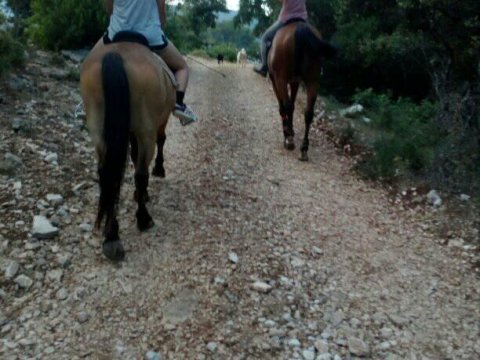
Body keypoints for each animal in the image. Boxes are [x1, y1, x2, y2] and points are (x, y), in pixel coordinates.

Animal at [268, 20, 336, 160]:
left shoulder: (276, 80)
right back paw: (304, 147)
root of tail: (300, 27)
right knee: (308, 112)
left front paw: (287, 131)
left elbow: (283, 107)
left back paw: (289, 139)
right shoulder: (295, 81)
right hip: (313, 81)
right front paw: (291, 129)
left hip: (281, 79)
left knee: (286, 106)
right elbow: (293, 106)